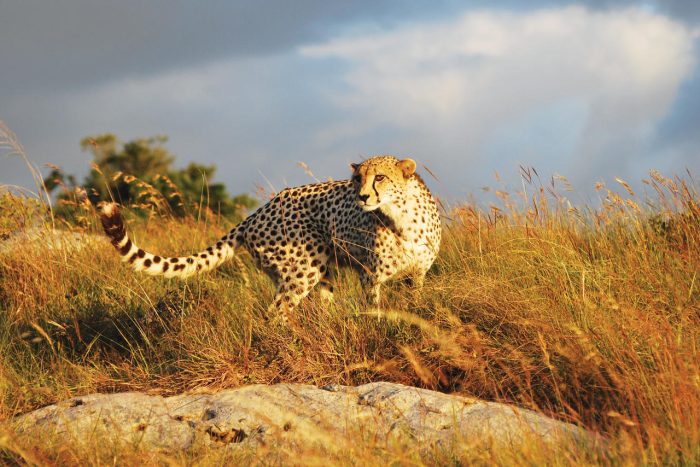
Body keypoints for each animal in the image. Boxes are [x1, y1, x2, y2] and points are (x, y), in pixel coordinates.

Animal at [100, 156, 438, 318]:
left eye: (379, 177)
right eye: (357, 178)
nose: (363, 196)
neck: (401, 217)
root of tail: (260, 210)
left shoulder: (417, 275)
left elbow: (416, 302)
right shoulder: (370, 275)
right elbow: (376, 308)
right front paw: (377, 326)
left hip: (316, 270)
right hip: (304, 267)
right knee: (275, 312)